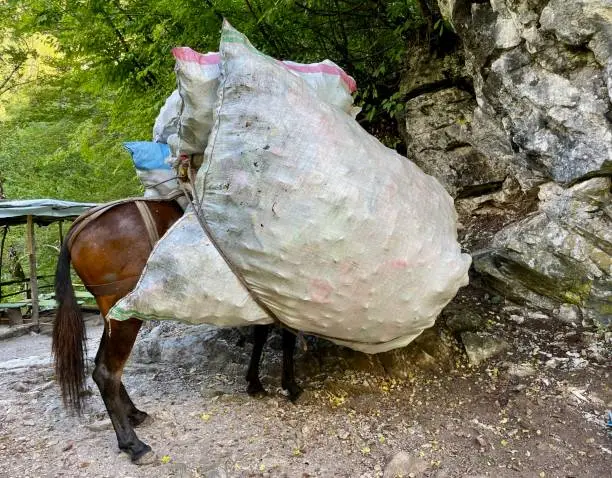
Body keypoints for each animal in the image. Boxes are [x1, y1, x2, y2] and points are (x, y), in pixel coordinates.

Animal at [52, 197, 302, 464]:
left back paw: (135, 414)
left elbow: (262, 334)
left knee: (103, 363)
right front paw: (289, 385)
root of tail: (79, 226)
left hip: (112, 316)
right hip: (125, 315)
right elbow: (286, 337)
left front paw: (255, 382)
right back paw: (134, 445)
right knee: (106, 372)